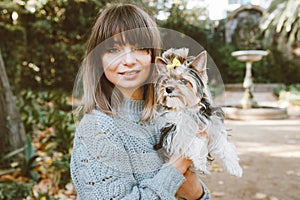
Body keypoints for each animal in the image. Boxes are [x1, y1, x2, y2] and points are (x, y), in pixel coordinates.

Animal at [154, 47, 243, 177]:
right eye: (166, 80)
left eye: (183, 80)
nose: (168, 89)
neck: (187, 108)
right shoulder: (173, 131)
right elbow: (194, 140)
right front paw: (200, 162)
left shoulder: (213, 125)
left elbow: (225, 144)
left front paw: (234, 167)